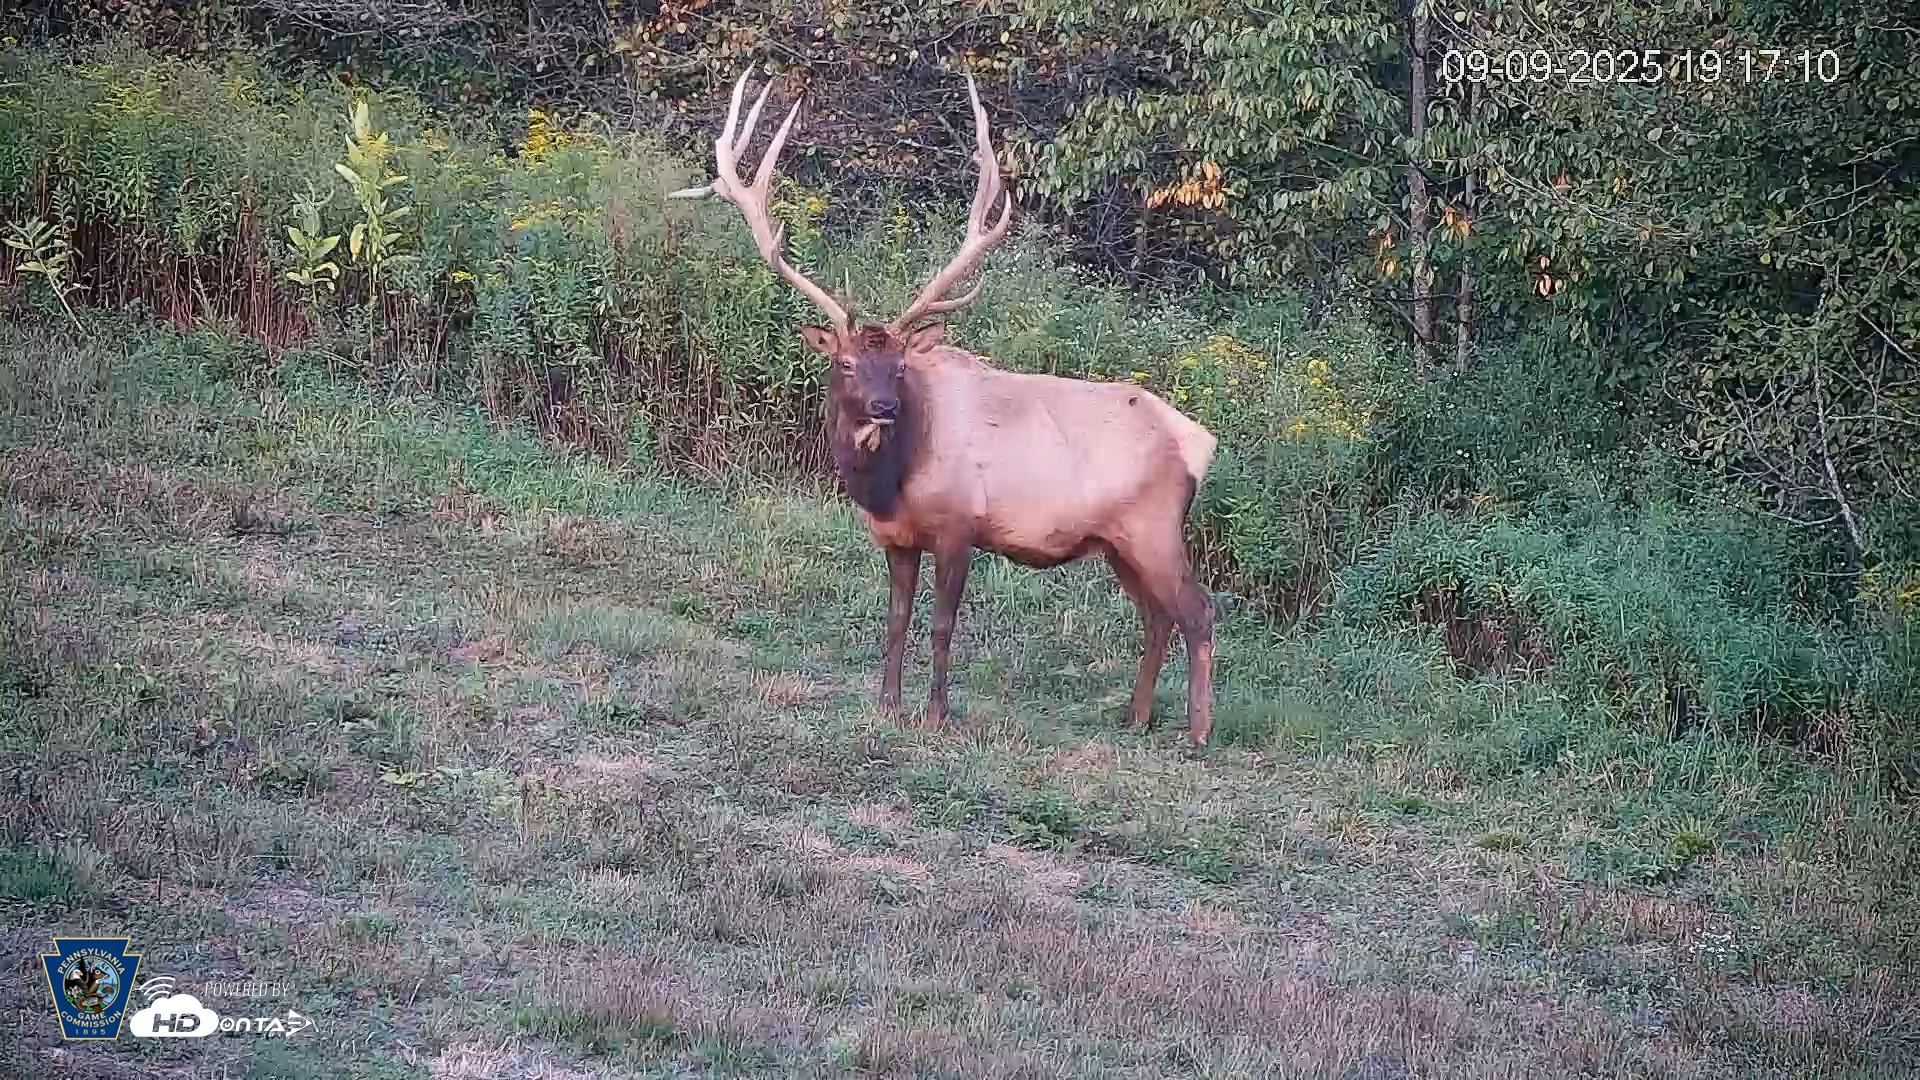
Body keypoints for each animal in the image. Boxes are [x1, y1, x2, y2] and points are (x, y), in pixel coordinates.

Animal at [670, 70, 1221, 746]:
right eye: (846, 363)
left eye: (901, 368)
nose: (882, 407)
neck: (891, 483)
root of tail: (1198, 442)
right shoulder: (895, 537)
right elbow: (897, 618)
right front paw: (886, 703)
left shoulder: (962, 526)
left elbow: (941, 624)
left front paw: (933, 714)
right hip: (1119, 541)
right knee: (1156, 615)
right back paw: (1136, 716)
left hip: (1154, 525)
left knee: (1198, 610)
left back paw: (1197, 732)